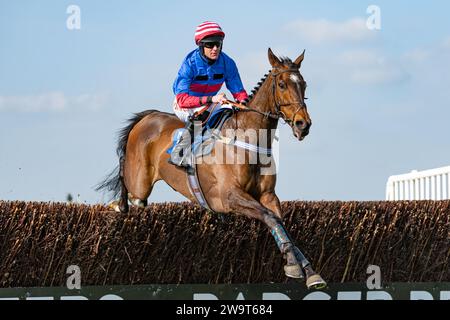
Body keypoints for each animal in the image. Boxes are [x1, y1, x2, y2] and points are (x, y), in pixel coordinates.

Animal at [96, 48, 326, 290]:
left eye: (304, 84)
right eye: (282, 84)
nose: (303, 124)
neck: (247, 139)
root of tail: (148, 116)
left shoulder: (268, 195)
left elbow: (281, 223)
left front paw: (310, 272)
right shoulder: (229, 196)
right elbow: (270, 218)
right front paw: (293, 265)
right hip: (139, 182)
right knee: (127, 184)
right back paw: (117, 206)